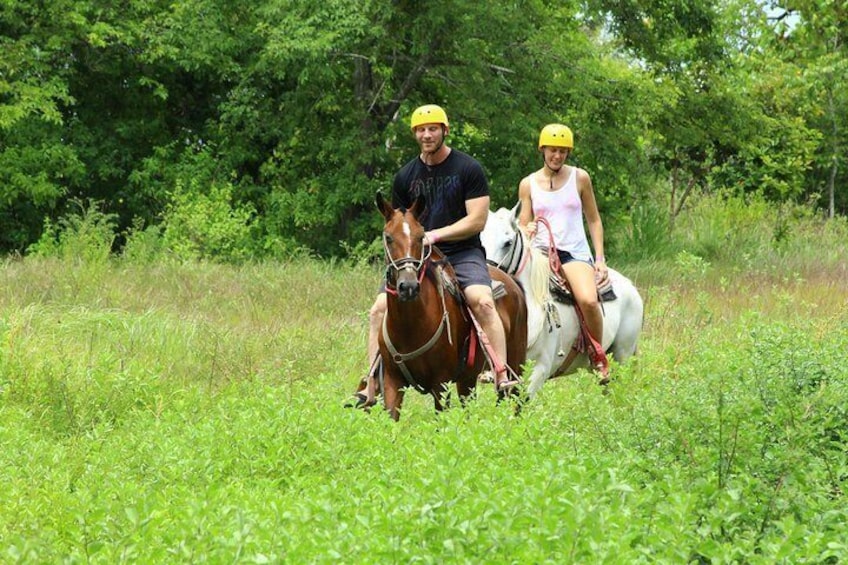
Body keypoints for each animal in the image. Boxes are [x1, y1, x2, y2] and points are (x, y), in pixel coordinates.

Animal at [376, 193, 528, 418]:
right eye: (388, 237)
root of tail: (513, 283)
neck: (410, 326)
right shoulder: (393, 382)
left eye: (421, 237)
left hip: (516, 365)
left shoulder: (441, 384)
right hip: (467, 380)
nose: (409, 286)